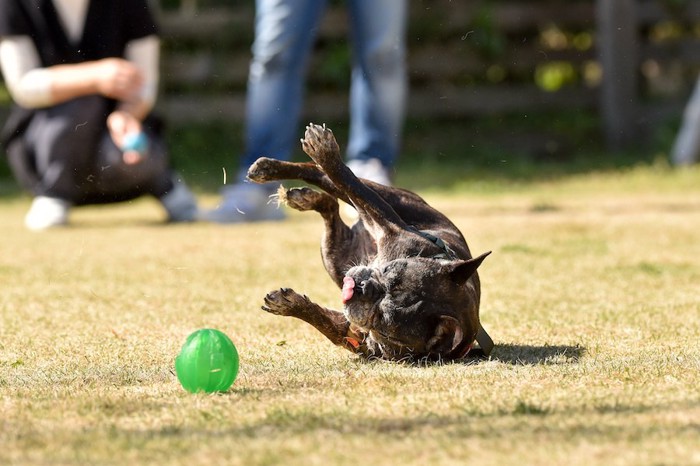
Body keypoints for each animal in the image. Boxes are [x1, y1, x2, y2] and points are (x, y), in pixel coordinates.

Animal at [246, 123, 492, 360]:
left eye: (383, 320)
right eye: (390, 271)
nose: (362, 288)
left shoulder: (353, 331)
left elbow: (327, 324)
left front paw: (290, 304)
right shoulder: (390, 224)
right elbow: (351, 184)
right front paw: (326, 155)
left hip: (335, 257)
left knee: (332, 206)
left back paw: (306, 193)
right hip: (393, 200)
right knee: (329, 178)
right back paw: (282, 172)